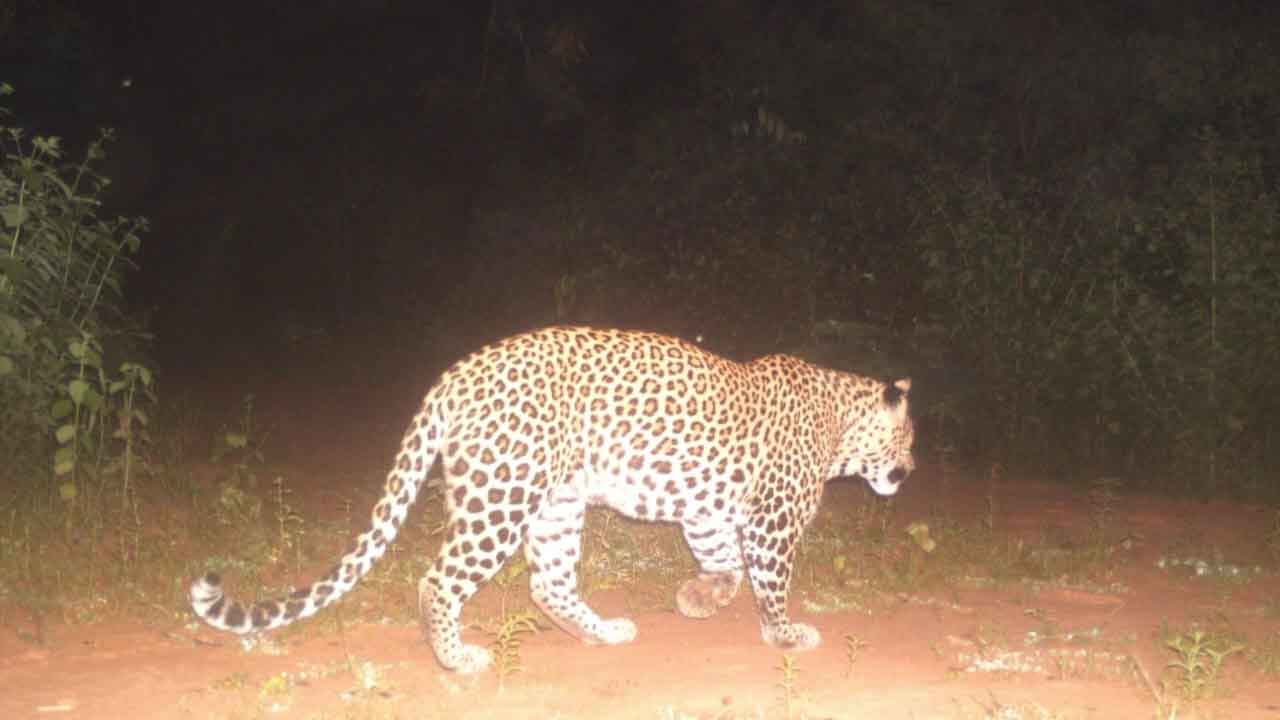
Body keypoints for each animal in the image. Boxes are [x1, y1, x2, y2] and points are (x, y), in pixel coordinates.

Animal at [190, 326, 915, 673]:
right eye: (909, 436)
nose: (910, 471)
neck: (839, 423)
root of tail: (455, 376)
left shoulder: (709, 509)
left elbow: (724, 564)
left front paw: (697, 599)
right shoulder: (771, 521)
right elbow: (768, 580)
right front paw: (786, 634)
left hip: (556, 504)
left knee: (548, 584)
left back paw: (600, 632)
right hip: (503, 497)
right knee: (439, 580)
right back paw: (456, 659)